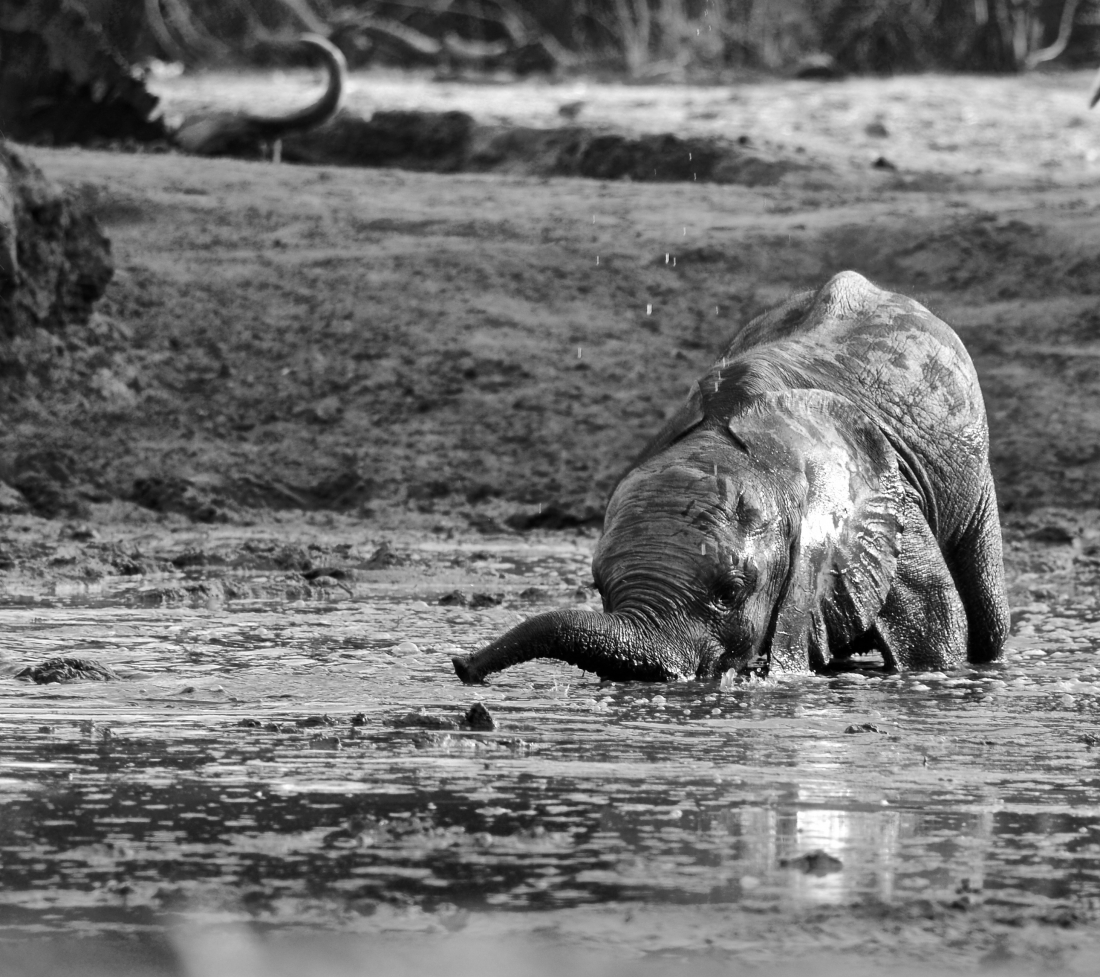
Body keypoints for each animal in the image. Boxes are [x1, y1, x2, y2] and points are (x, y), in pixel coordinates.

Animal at [453, 270, 1009, 684]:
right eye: (599, 586)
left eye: (730, 592)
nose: (463, 665)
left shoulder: (892, 502)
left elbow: (935, 634)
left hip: (973, 472)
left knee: (987, 616)